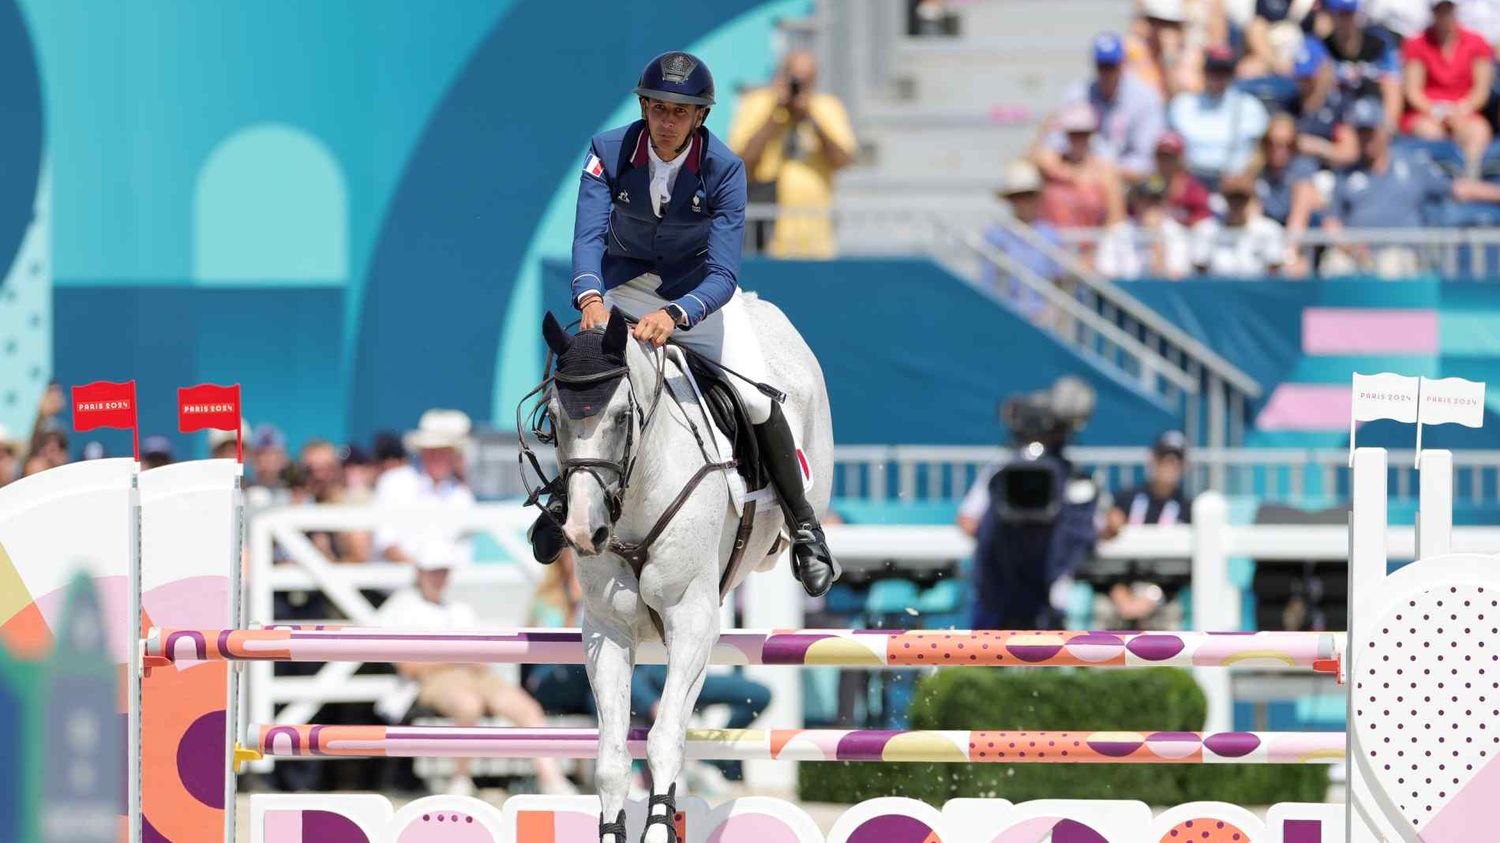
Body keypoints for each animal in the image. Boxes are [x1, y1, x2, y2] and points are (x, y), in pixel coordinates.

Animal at [537, 297, 834, 840]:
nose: (585, 532)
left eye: (620, 416)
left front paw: (659, 827)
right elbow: (612, 758)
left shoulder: (691, 620)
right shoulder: (608, 631)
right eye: (552, 417)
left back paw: (808, 552)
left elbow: (663, 738)